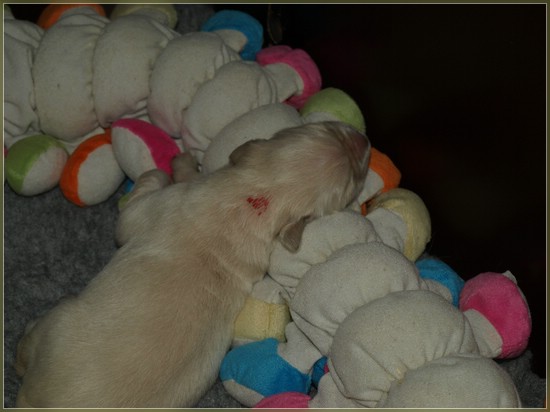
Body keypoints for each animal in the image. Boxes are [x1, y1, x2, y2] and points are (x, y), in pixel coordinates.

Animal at [14, 121, 371, 407]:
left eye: (354, 180)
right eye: (328, 127)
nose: (365, 139)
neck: (260, 198)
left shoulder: (167, 202)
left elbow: (133, 213)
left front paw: (171, 165)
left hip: (60, 321)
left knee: (34, 340)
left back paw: (22, 347)